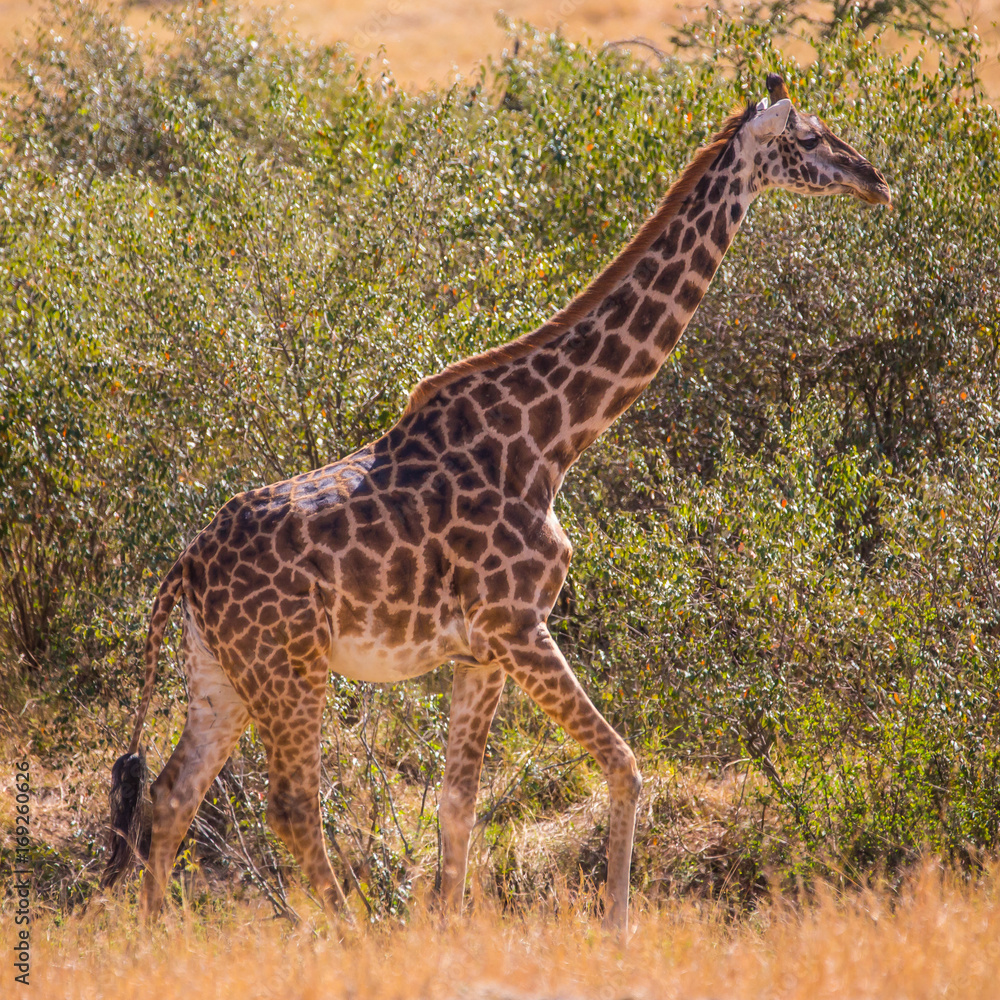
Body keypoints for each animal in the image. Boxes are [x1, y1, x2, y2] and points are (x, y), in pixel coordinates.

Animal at [102, 73, 890, 932]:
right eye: (809, 137)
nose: (875, 179)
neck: (549, 439)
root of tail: (184, 567)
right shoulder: (519, 625)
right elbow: (625, 764)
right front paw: (616, 929)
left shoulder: (478, 651)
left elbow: (458, 802)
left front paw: (446, 930)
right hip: (289, 668)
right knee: (291, 806)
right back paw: (353, 936)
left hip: (219, 671)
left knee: (172, 795)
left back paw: (156, 935)